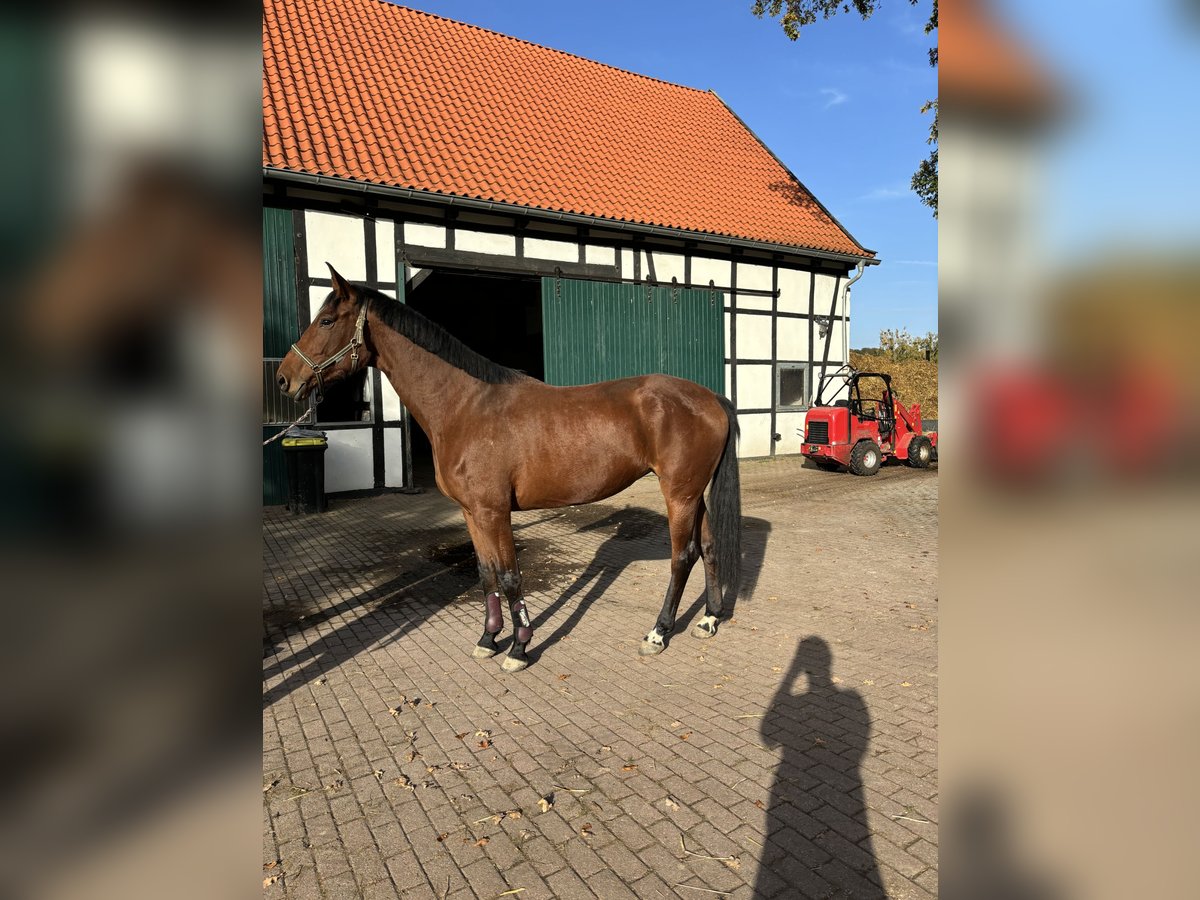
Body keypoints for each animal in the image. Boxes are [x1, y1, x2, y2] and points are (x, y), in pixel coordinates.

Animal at [278, 264, 739, 672]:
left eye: (326, 320)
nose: (285, 379)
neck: (465, 405)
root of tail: (711, 397)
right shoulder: (472, 513)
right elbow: (486, 575)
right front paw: (488, 640)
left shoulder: (494, 511)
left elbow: (511, 575)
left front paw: (519, 649)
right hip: (694, 494)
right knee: (710, 547)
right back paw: (709, 619)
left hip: (678, 494)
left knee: (683, 556)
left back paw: (658, 633)